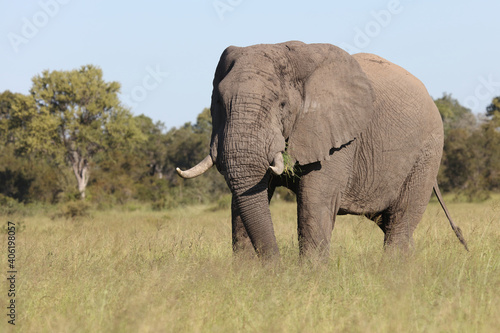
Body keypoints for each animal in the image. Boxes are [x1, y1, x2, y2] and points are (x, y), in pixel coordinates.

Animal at [177, 40, 468, 260]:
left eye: (282, 105)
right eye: (218, 102)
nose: (277, 267)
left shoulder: (336, 139)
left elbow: (314, 201)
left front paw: (309, 278)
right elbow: (244, 200)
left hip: (427, 152)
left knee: (400, 222)